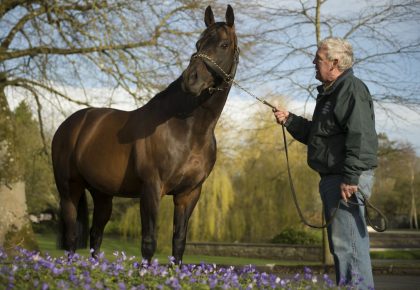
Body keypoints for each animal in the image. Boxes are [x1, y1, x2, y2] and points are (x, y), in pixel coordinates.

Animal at [50, 5, 238, 262]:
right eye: (198, 43)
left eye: (224, 45)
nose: (191, 79)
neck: (187, 130)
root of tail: (70, 124)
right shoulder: (151, 189)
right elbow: (149, 243)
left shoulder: (189, 194)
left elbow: (178, 244)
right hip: (69, 189)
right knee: (71, 238)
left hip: (102, 194)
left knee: (95, 236)